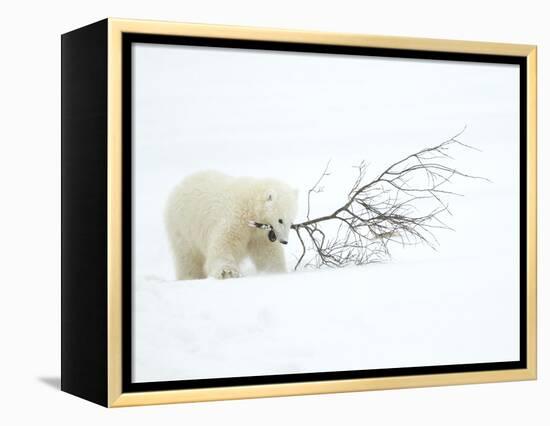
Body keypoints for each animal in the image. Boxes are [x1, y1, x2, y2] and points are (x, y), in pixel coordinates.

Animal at [166, 170, 300, 280]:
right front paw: (227, 272)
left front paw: (275, 272)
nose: (284, 241)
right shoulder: (235, 218)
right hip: (183, 226)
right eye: (280, 220)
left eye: (291, 221)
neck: (250, 204)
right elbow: (225, 242)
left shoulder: (259, 233)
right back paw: (190, 277)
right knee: (188, 256)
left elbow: (267, 251)